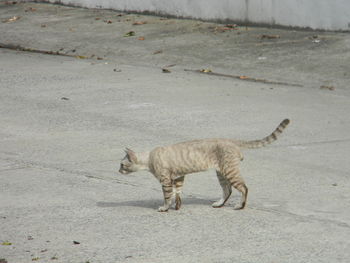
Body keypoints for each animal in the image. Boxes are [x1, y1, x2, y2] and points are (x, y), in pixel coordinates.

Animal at [119, 119, 288, 212]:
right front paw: (177, 206)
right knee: (227, 190)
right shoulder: (179, 177)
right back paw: (219, 204)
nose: (118, 170)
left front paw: (165, 208)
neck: (149, 157)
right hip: (221, 173)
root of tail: (230, 140)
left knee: (243, 188)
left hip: (229, 172)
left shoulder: (166, 180)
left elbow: (167, 196)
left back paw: (240, 206)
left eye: (121, 164)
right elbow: (177, 194)